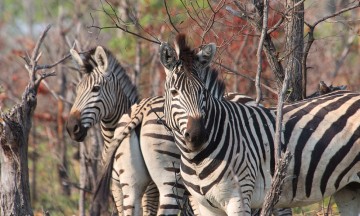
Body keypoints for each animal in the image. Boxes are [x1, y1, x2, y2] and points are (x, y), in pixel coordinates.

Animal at [158, 33, 360, 215]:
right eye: (174, 92)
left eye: (204, 92)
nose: (198, 135)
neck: (196, 160)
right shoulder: (206, 206)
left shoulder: (238, 198)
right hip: (348, 188)